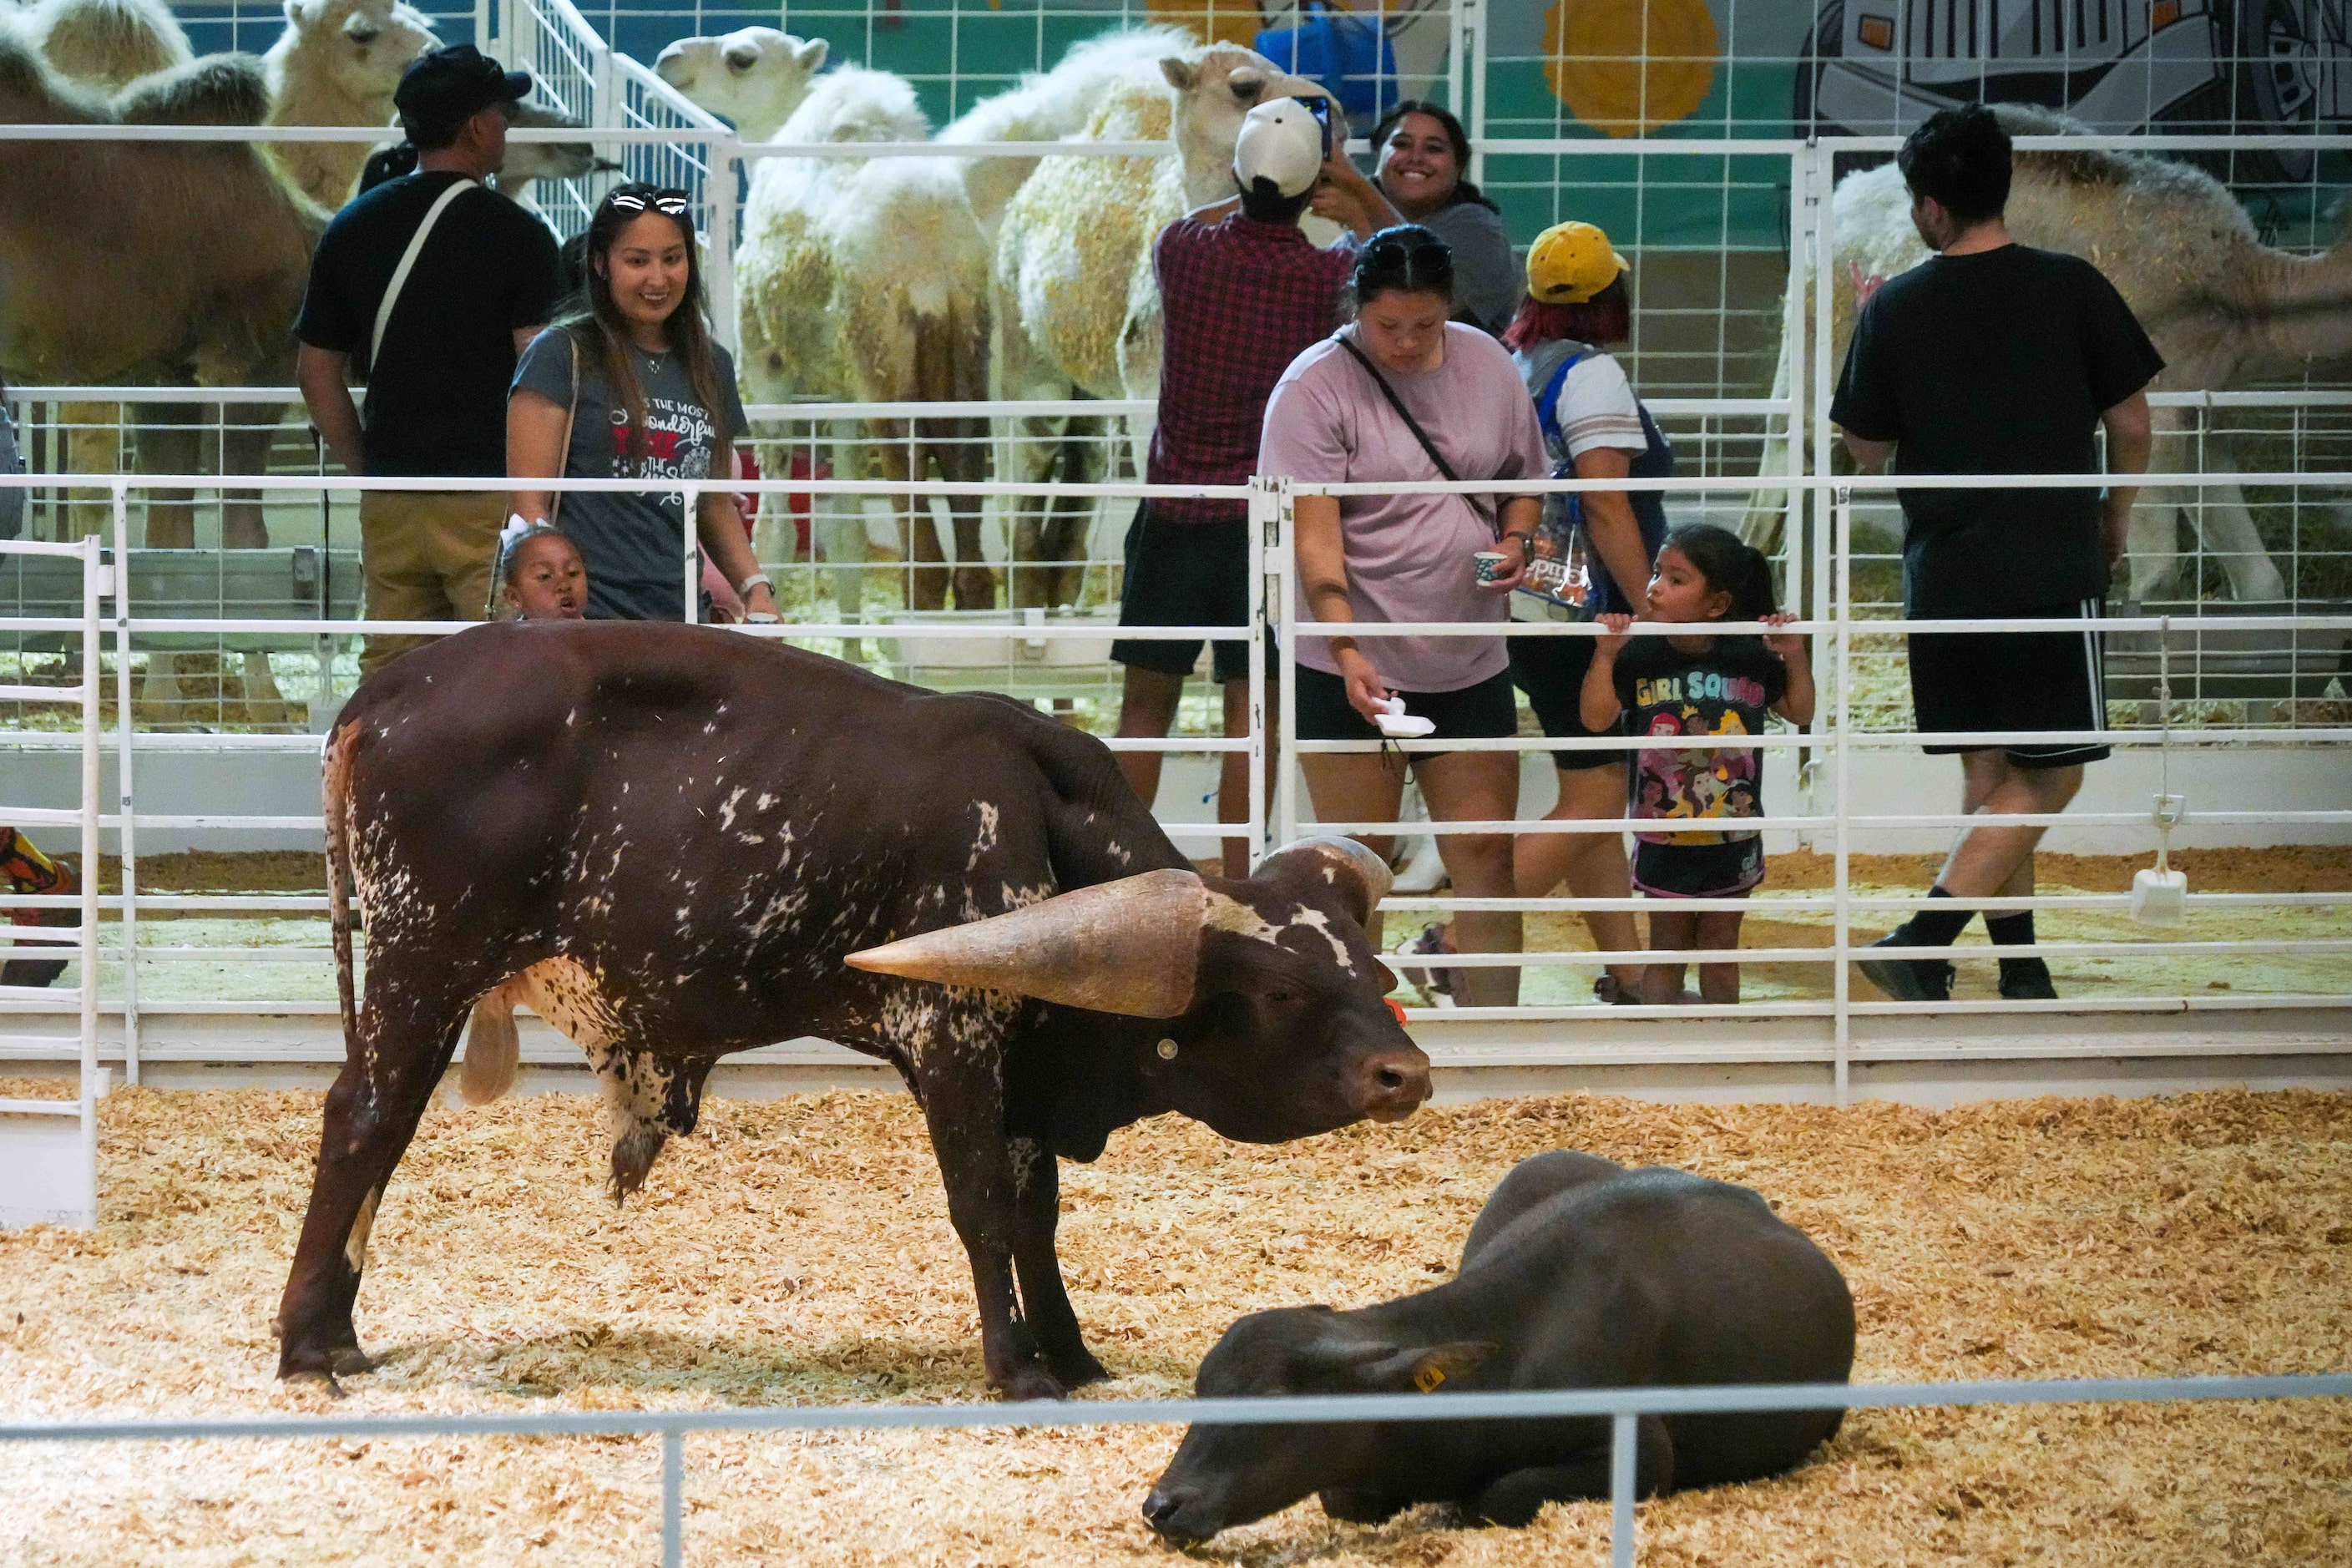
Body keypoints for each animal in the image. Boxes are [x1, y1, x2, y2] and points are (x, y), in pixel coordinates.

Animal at [266, 620, 1420, 1401]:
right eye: (1280, 991)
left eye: (1377, 972)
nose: (1405, 1075)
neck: (1042, 829)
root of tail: (389, 688)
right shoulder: (951, 1039)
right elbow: (982, 1210)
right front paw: (1016, 1369)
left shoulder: (1022, 1071)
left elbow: (1036, 1217)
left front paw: (1073, 1352)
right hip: (423, 964)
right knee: (361, 1120)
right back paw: (307, 1347)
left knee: (383, 1131)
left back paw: (335, 1333)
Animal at [1143, 1147, 1853, 1542]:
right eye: (1201, 1393)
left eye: (1270, 1406)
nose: (1161, 1505)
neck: (1511, 1353)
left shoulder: (1645, 1452)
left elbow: (1499, 1495)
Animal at [1749, 99, 2352, 601]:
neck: (2247, 286)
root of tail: (1830, 208)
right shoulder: (2157, 403)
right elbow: (2158, 579)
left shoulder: (2204, 414)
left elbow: (2262, 582)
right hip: (1818, 355)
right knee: (1786, 466)